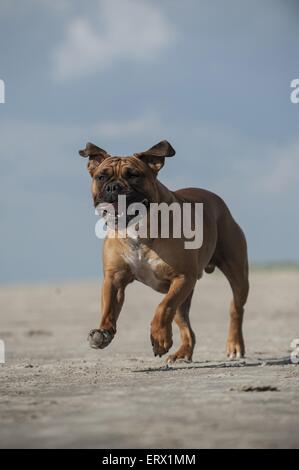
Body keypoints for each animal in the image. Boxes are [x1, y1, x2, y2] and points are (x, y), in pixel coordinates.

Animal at [78, 140, 250, 364]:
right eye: (101, 177)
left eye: (133, 175)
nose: (114, 187)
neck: (138, 228)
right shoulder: (114, 278)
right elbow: (109, 308)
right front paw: (104, 332)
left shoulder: (182, 277)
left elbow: (163, 307)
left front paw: (160, 338)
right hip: (184, 296)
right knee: (186, 327)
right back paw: (182, 352)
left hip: (237, 275)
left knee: (235, 309)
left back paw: (234, 345)